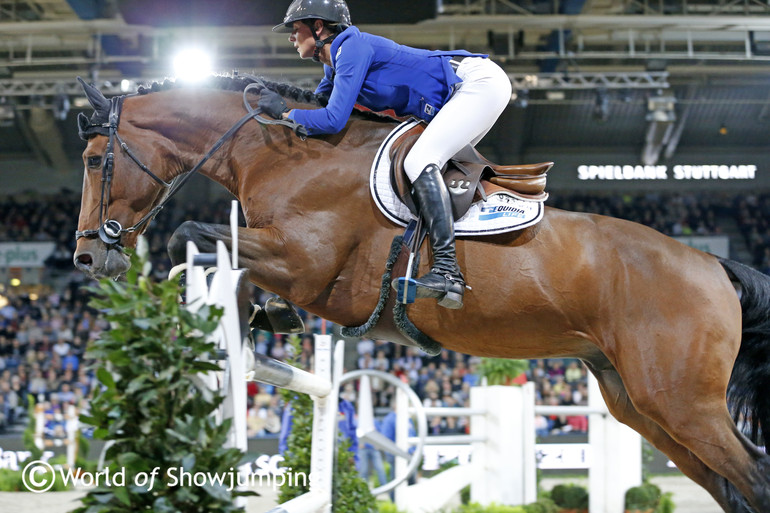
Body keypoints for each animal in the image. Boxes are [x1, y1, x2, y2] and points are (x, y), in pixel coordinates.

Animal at [69, 74, 764, 510]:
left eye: (95, 159)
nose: (87, 255)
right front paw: (269, 315)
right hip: (637, 403)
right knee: (732, 484)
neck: (279, 155)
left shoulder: (308, 263)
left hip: (683, 403)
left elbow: (193, 235)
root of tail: (712, 263)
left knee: (753, 476)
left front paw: (250, 311)